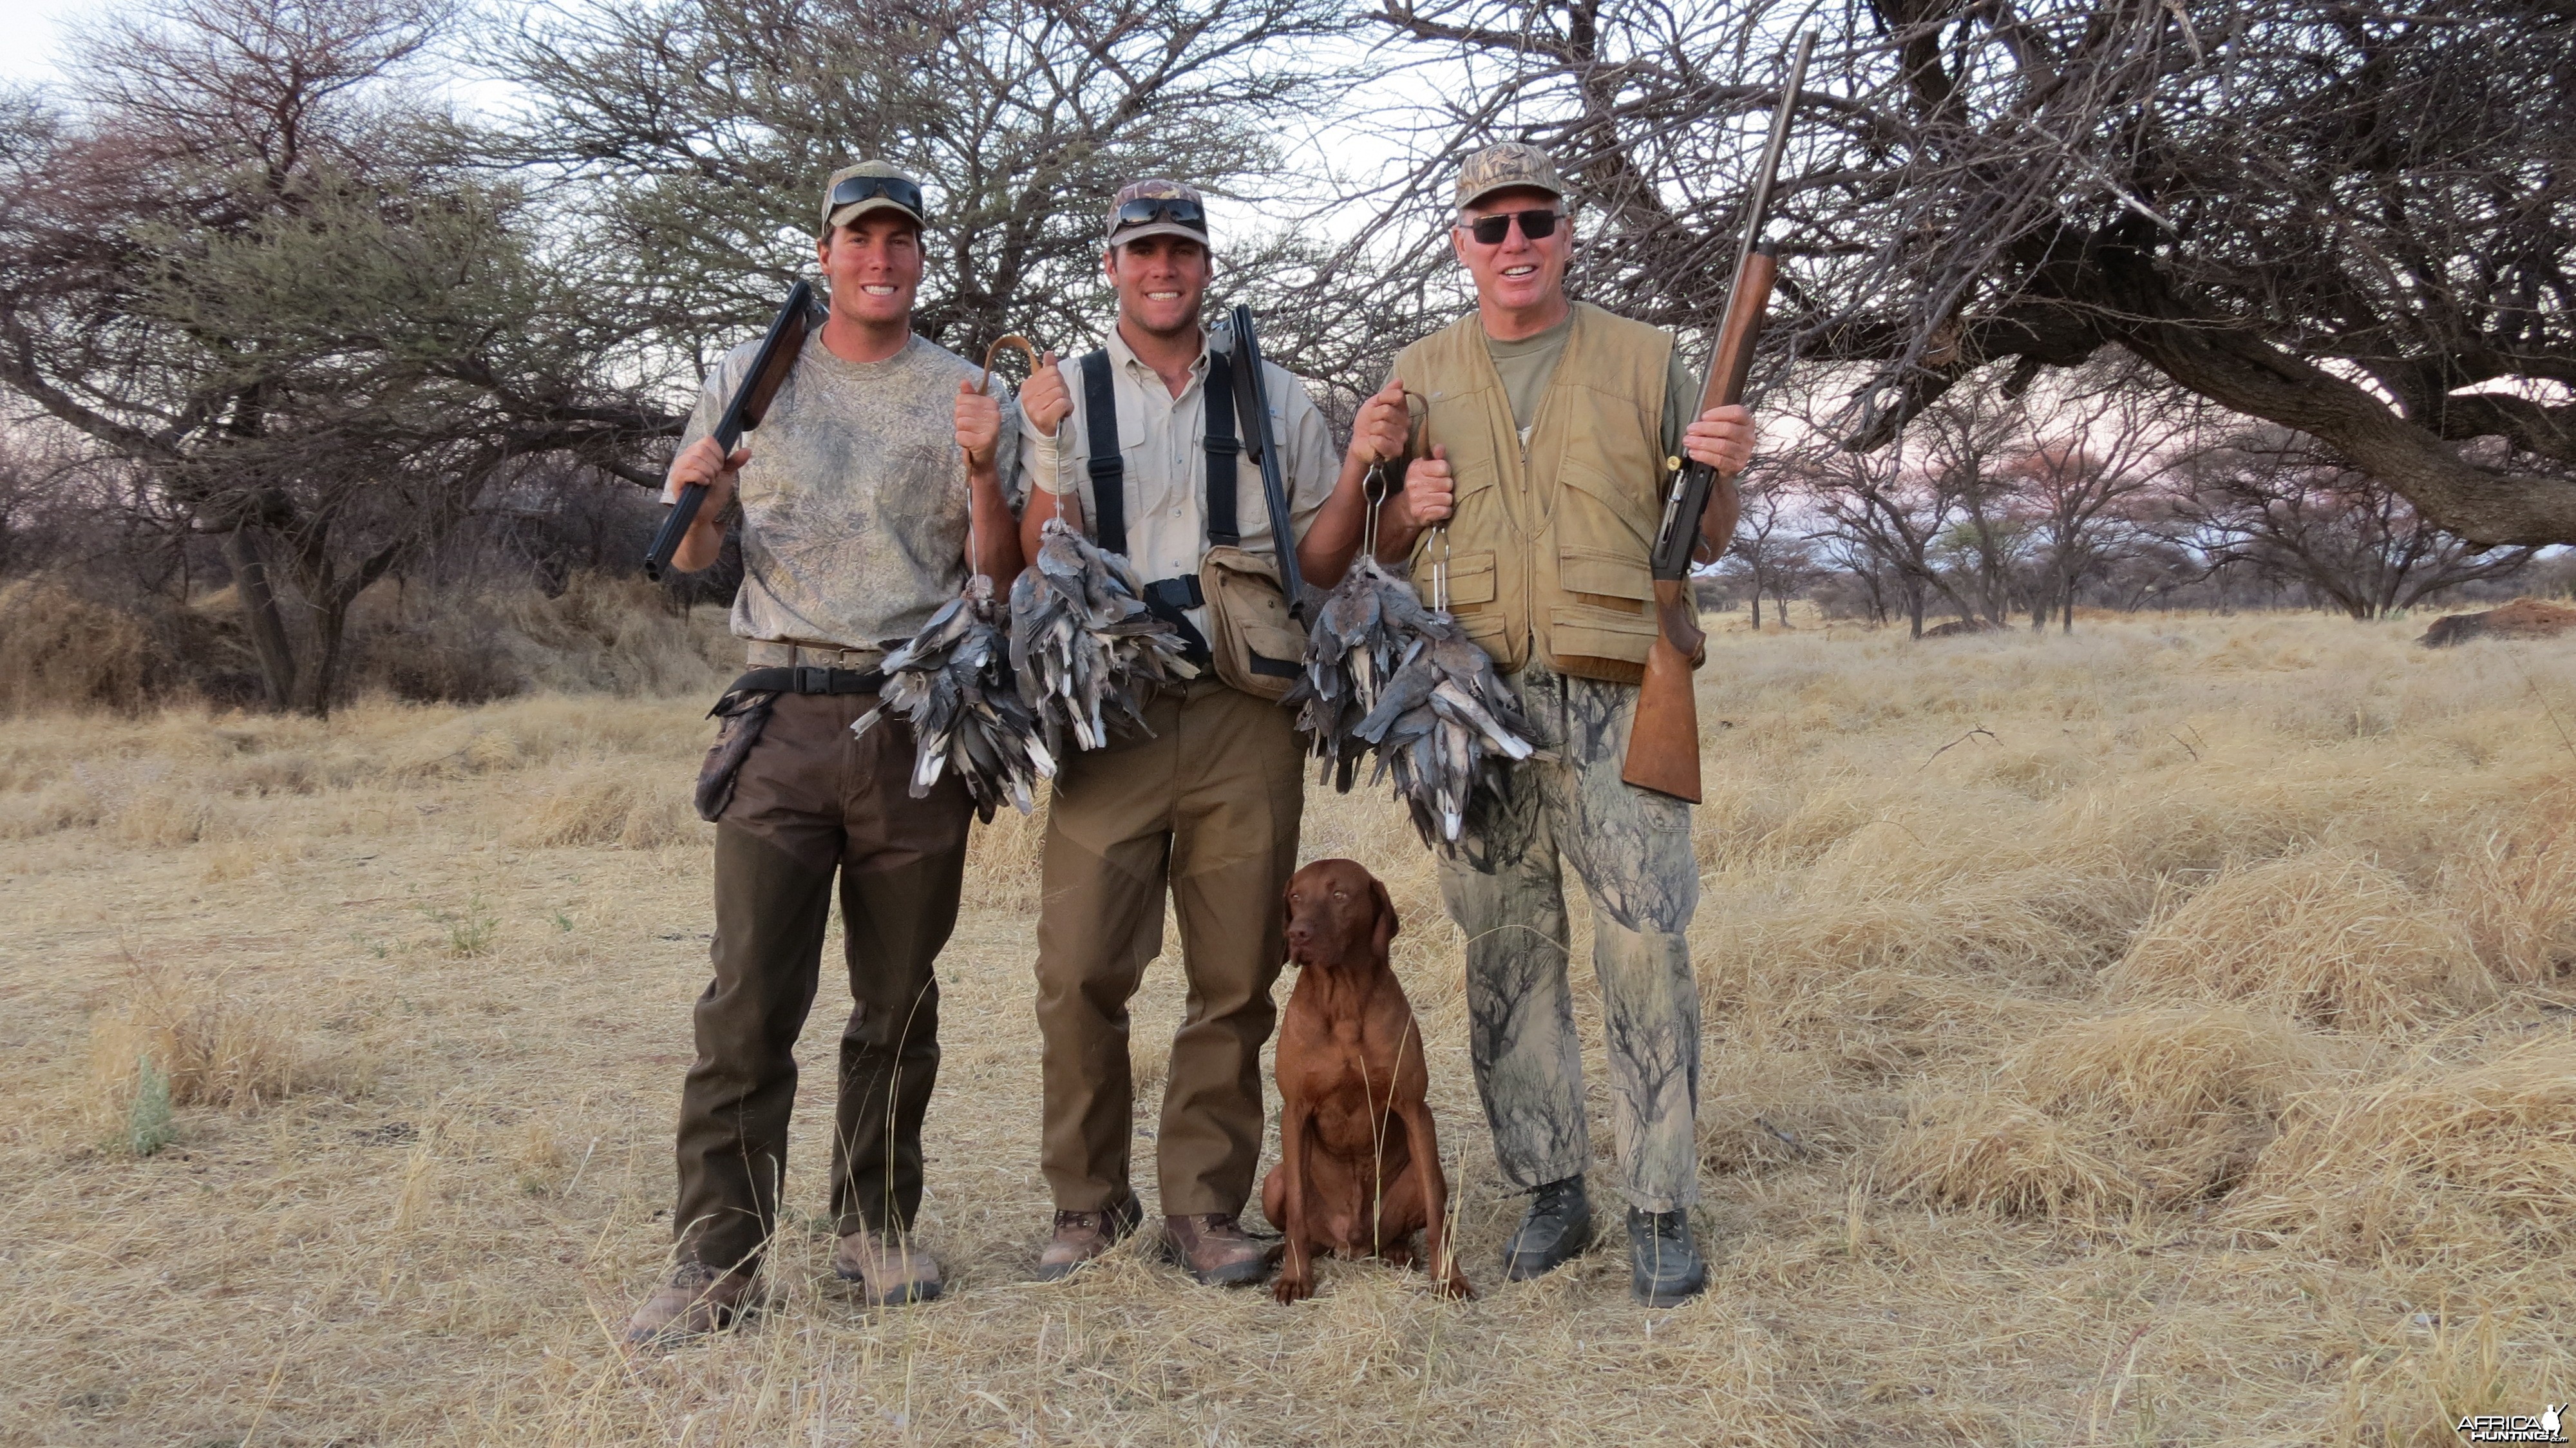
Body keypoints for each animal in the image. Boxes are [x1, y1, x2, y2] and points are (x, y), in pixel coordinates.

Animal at [1262, 850, 1473, 1304]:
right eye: (1295, 896)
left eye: (1340, 894)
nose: (1297, 933)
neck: (1342, 998)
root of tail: (1353, 1242)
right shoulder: (1295, 1110)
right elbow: (1297, 1214)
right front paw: (1295, 1278)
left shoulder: (1414, 1107)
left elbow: (1437, 1211)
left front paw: (1449, 1278)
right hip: (1274, 1181)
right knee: (1301, 1226)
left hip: (1414, 1183)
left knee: (1411, 1218)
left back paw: (1397, 1251)